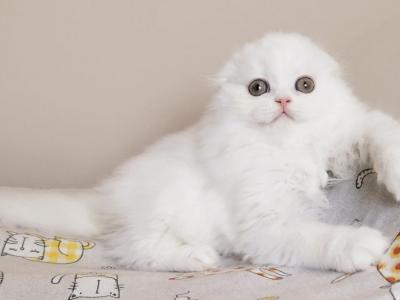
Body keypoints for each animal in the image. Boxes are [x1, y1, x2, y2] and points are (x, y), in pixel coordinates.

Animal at [0, 32, 400, 272]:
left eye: (305, 85)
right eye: (258, 88)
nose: (283, 101)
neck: (287, 149)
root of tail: (103, 197)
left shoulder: (343, 141)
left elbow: (379, 129)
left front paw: (395, 175)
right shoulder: (264, 225)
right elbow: (316, 237)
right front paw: (359, 244)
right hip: (159, 208)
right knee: (134, 250)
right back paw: (197, 257)